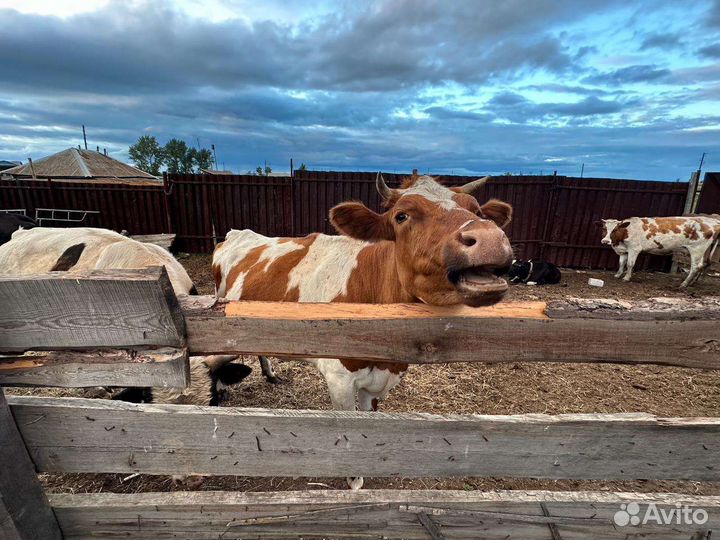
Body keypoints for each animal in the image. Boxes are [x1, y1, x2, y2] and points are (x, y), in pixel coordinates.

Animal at [213, 173, 513, 488]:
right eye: (401, 216)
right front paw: (353, 477)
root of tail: (237, 233)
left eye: (476, 210)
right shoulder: (339, 377)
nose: (490, 239)